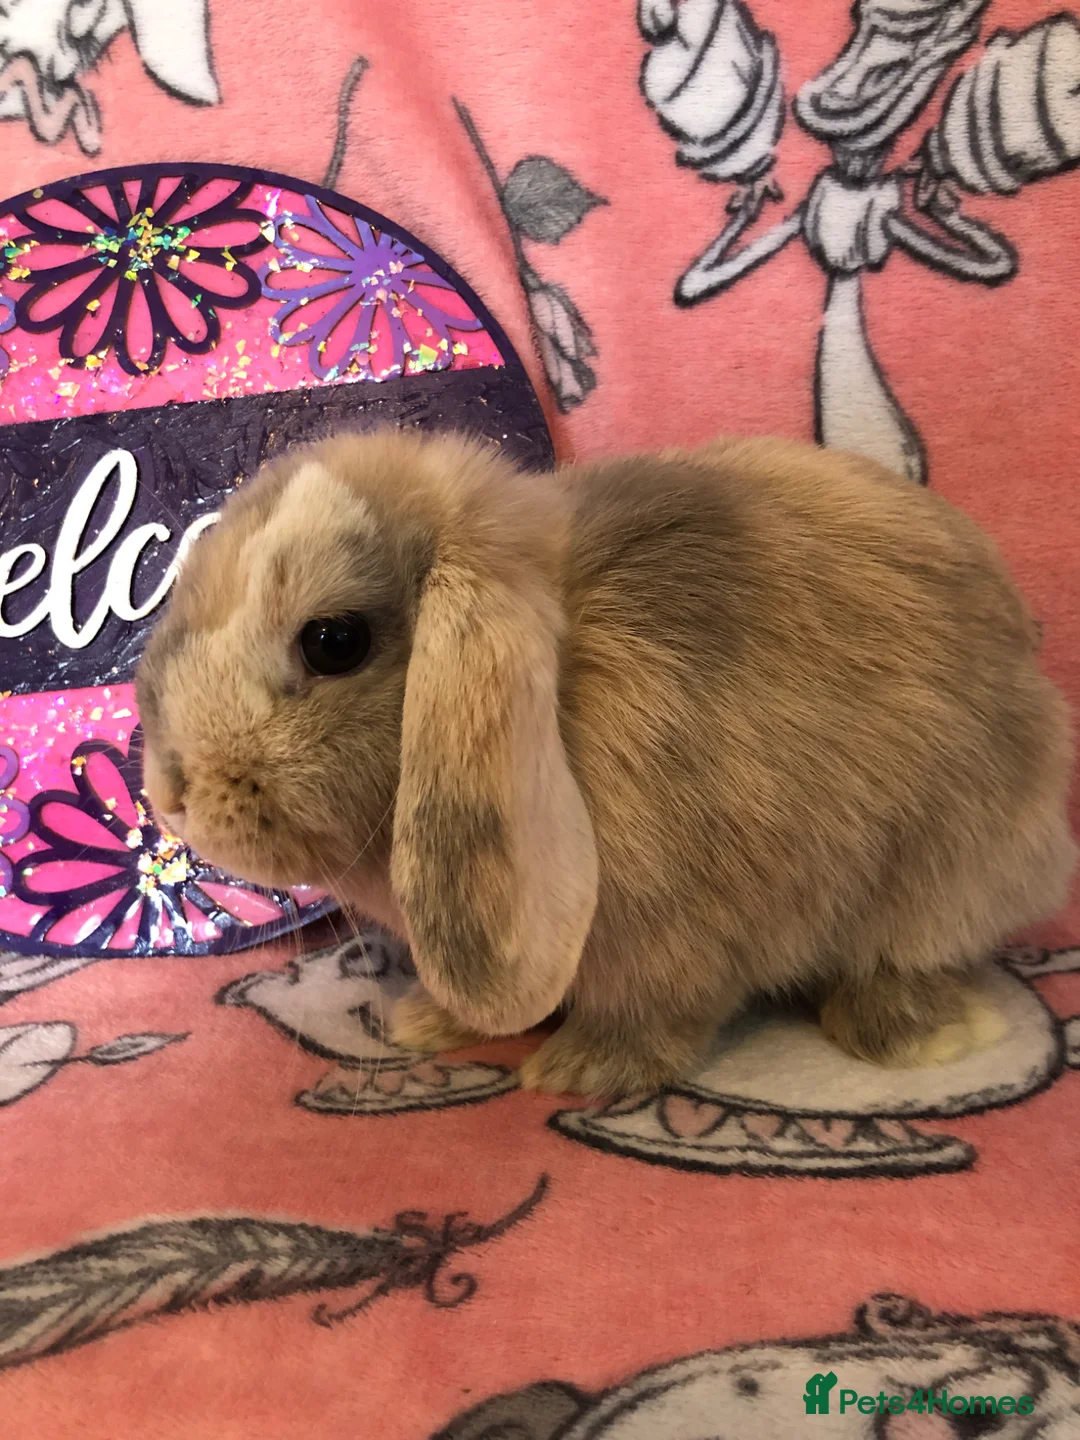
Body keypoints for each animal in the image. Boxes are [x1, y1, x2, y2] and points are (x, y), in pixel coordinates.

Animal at [135, 429, 1077, 1098]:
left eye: (334, 641)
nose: (169, 794)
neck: (563, 702)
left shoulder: (678, 936)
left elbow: (657, 1014)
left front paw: (579, 1073)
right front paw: (428, 1024)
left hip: (949, 868)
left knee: (919, 952)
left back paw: (918, 1032)